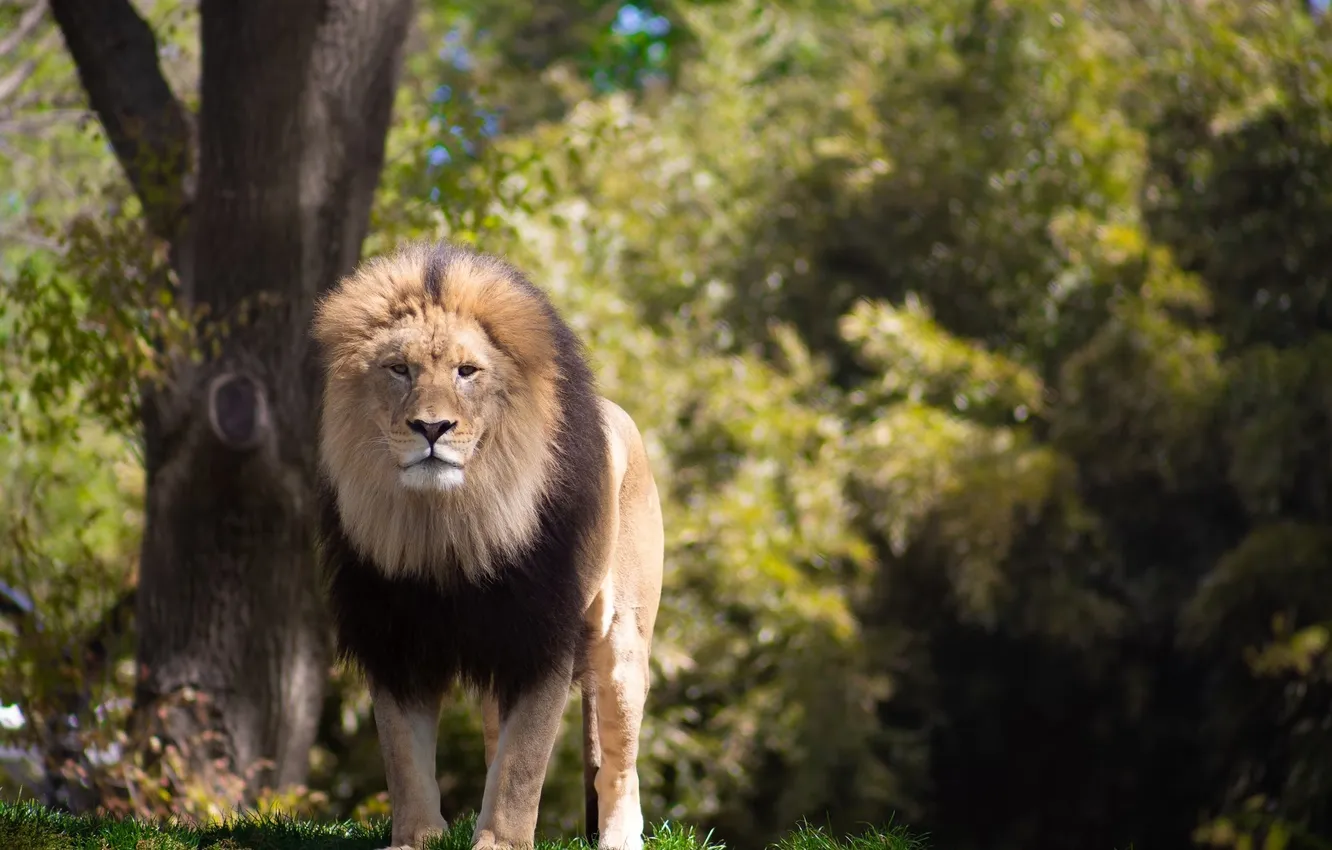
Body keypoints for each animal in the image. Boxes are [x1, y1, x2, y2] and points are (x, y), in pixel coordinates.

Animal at [310, 241, 664, 850]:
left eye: (467, 371)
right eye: (399, 369)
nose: (431, 428)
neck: (450, 524)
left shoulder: (542, 633)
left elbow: (524, 762)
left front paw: (501, 842)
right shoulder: (394, 633)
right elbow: (405, 757)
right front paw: (417, 838)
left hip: (621, 645)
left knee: (619, 763)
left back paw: (620, 838)